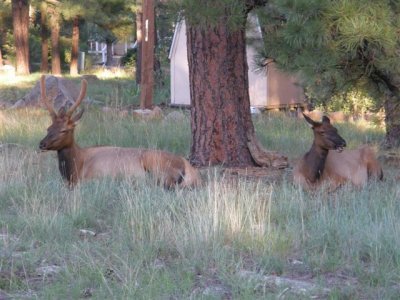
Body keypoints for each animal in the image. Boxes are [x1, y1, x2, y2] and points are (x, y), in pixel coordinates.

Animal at [38, 75, 202, 188]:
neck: (76, 167)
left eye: (64, 130)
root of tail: (190, 170)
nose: (42, 144)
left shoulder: (94, 177)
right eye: (48, 128)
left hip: (157, 166)